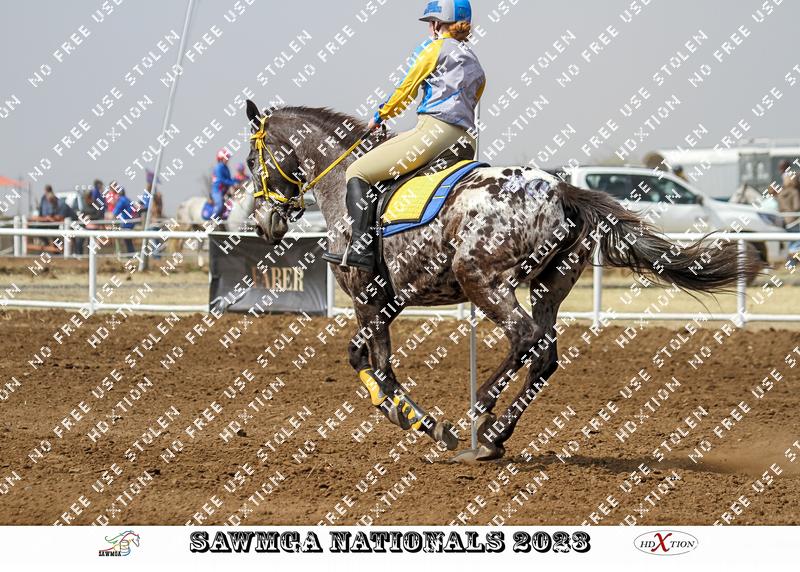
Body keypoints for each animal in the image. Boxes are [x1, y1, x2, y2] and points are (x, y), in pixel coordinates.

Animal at [244, 100, 760, 463]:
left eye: (252, 160)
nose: (262, 223)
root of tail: (559, 187)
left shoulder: (368, 300)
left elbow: (370, 363)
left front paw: (420, 422)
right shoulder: (392, 299)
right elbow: (370, 361)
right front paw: (415, 419)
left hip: (482, 281)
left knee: (525, 338)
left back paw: (479, 414)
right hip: (548, 288)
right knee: (545, 354)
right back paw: (494, 434)